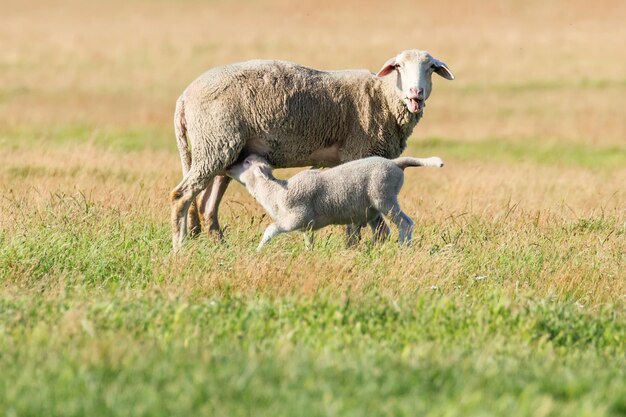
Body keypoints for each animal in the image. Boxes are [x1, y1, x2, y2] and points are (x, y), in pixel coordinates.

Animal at [224, 153, 444, 250]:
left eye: (247, 162)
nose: (228, 167)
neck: (275, 192)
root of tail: (395, 163)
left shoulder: (295, 217)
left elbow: (270, 229)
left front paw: (258, 250)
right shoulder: (306, 226)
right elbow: (309, 241)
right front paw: (309, 255)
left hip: (385, 197)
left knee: (405, 223)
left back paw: (403, 248)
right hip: (372, 208)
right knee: (383, 231)